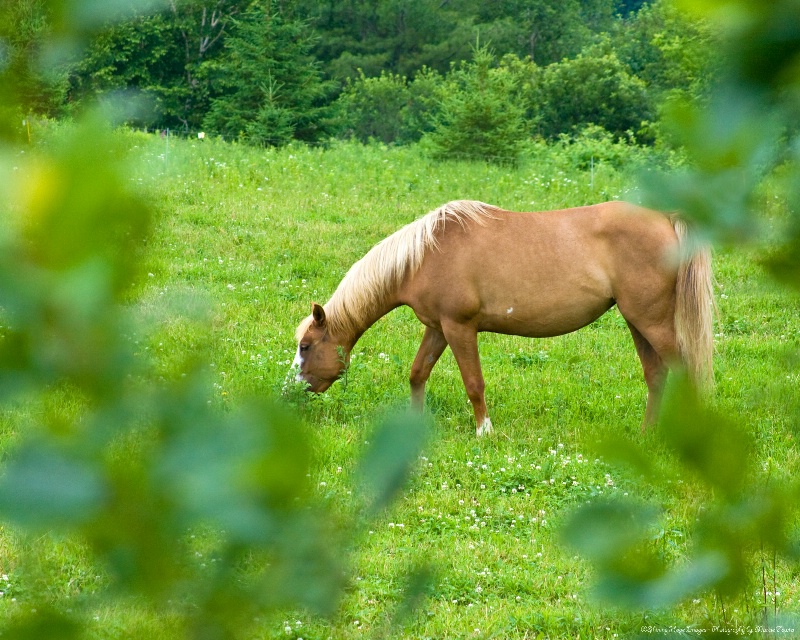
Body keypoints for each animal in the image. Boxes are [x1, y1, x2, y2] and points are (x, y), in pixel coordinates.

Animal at [290, 200, 716, 438]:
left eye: (306, 346)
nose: (293, 393)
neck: (426, 253)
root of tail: (665, 219)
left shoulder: (459, 328)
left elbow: (474, 383)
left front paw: (484, 432)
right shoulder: (437, 328)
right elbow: (417, 373)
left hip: (652, 322)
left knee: (684, 372)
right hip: (637, 322)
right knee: (657, 376)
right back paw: (647, 434)